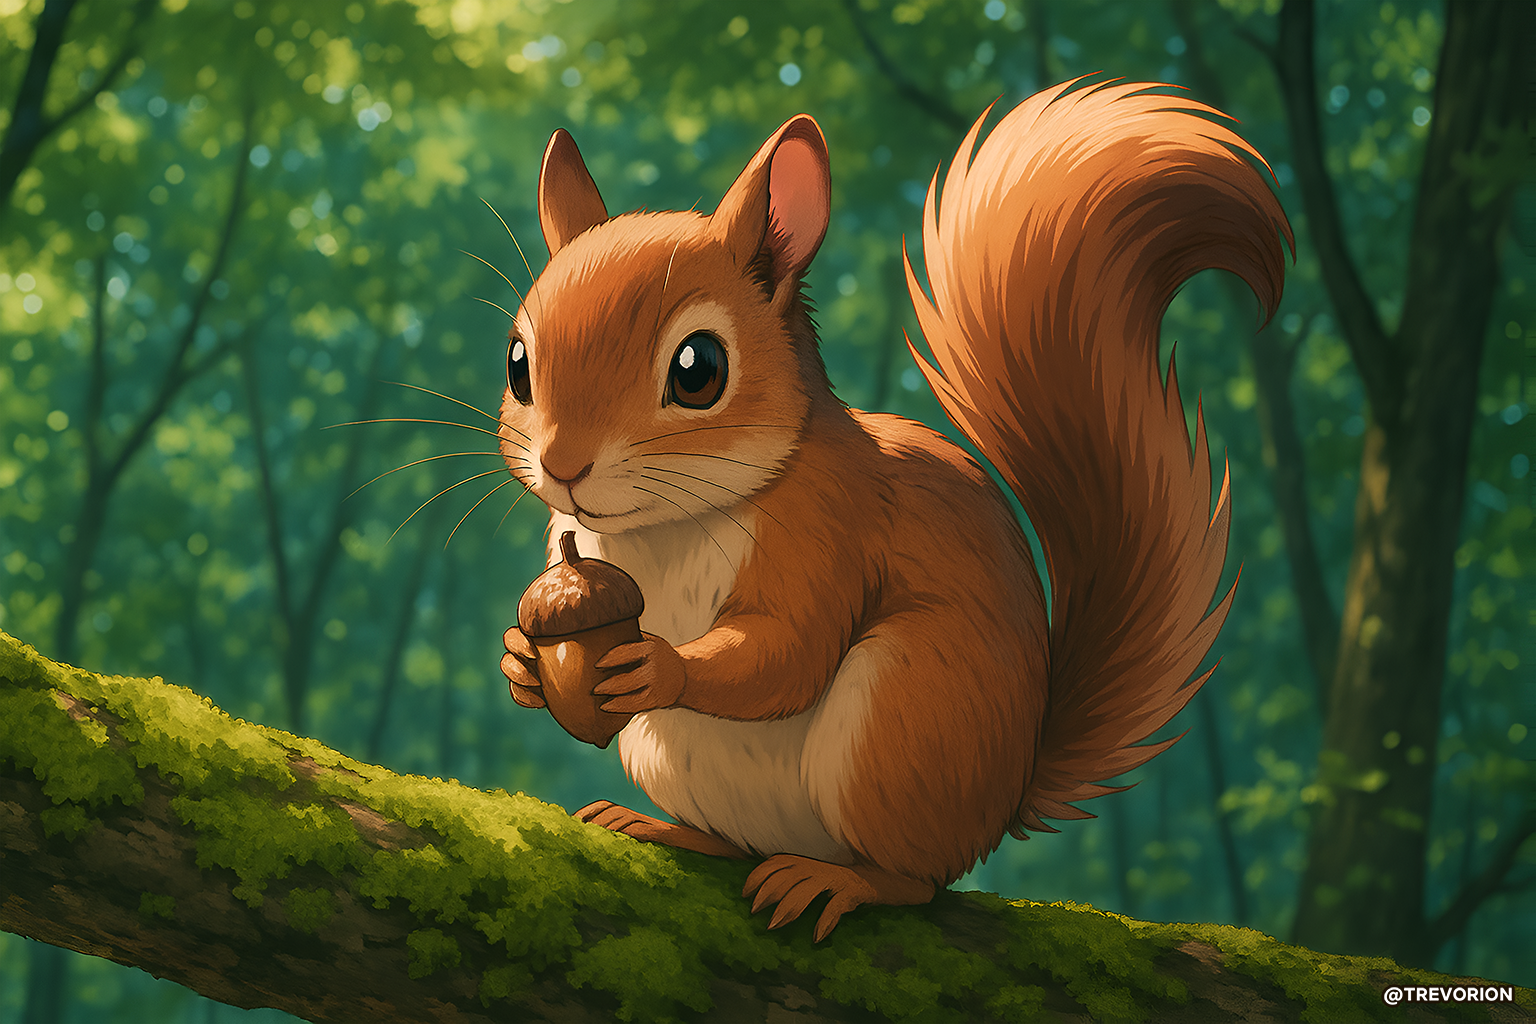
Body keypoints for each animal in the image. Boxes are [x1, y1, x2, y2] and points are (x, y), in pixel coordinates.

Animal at [499, 77, 1291, 941]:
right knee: (733, 841)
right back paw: (666, 828)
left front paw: (659, 664)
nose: (563, 467)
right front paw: (519, 662)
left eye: (697, 369)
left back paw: (835, 881)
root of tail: (1001, 803)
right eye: (517, 364)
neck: (660, 523)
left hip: (903, 716)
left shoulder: (828, 528)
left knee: (916, 879)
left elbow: (789, 650)